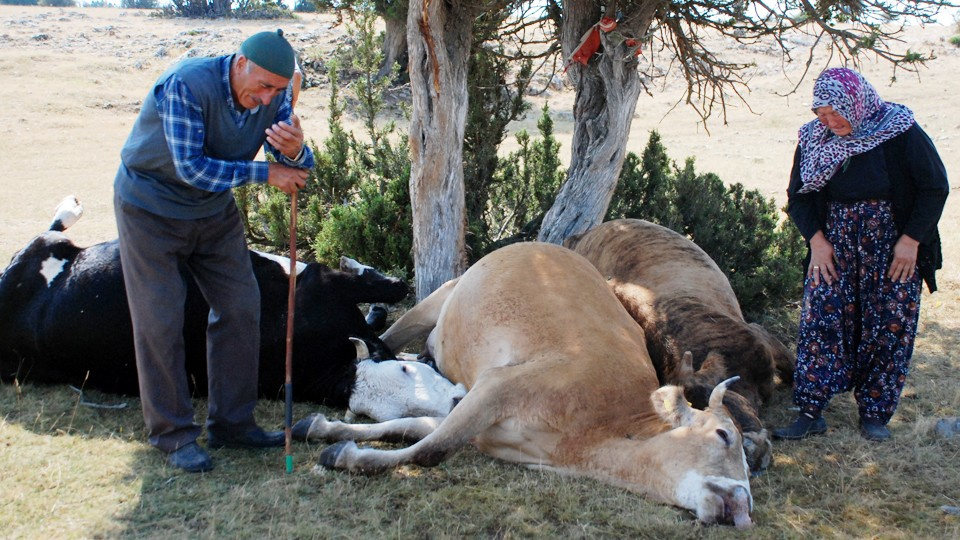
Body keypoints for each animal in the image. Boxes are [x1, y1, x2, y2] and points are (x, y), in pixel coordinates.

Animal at [0, 198, 464, 422]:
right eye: (403, 371)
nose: (456, 400)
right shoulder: (320, 284)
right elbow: (379, 285)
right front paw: (375, 278)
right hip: (40, 251)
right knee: (50, 231)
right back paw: (69, 207)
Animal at [300, 244, 752, 528]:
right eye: (724, 435)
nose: (744, 503)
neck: (598, 430)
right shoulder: (498, 386)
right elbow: (430, 451)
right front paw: (345, 455)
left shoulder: (470, 413)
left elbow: (411, 430)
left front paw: (326, 431)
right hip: (437, 300)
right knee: (387, 340)